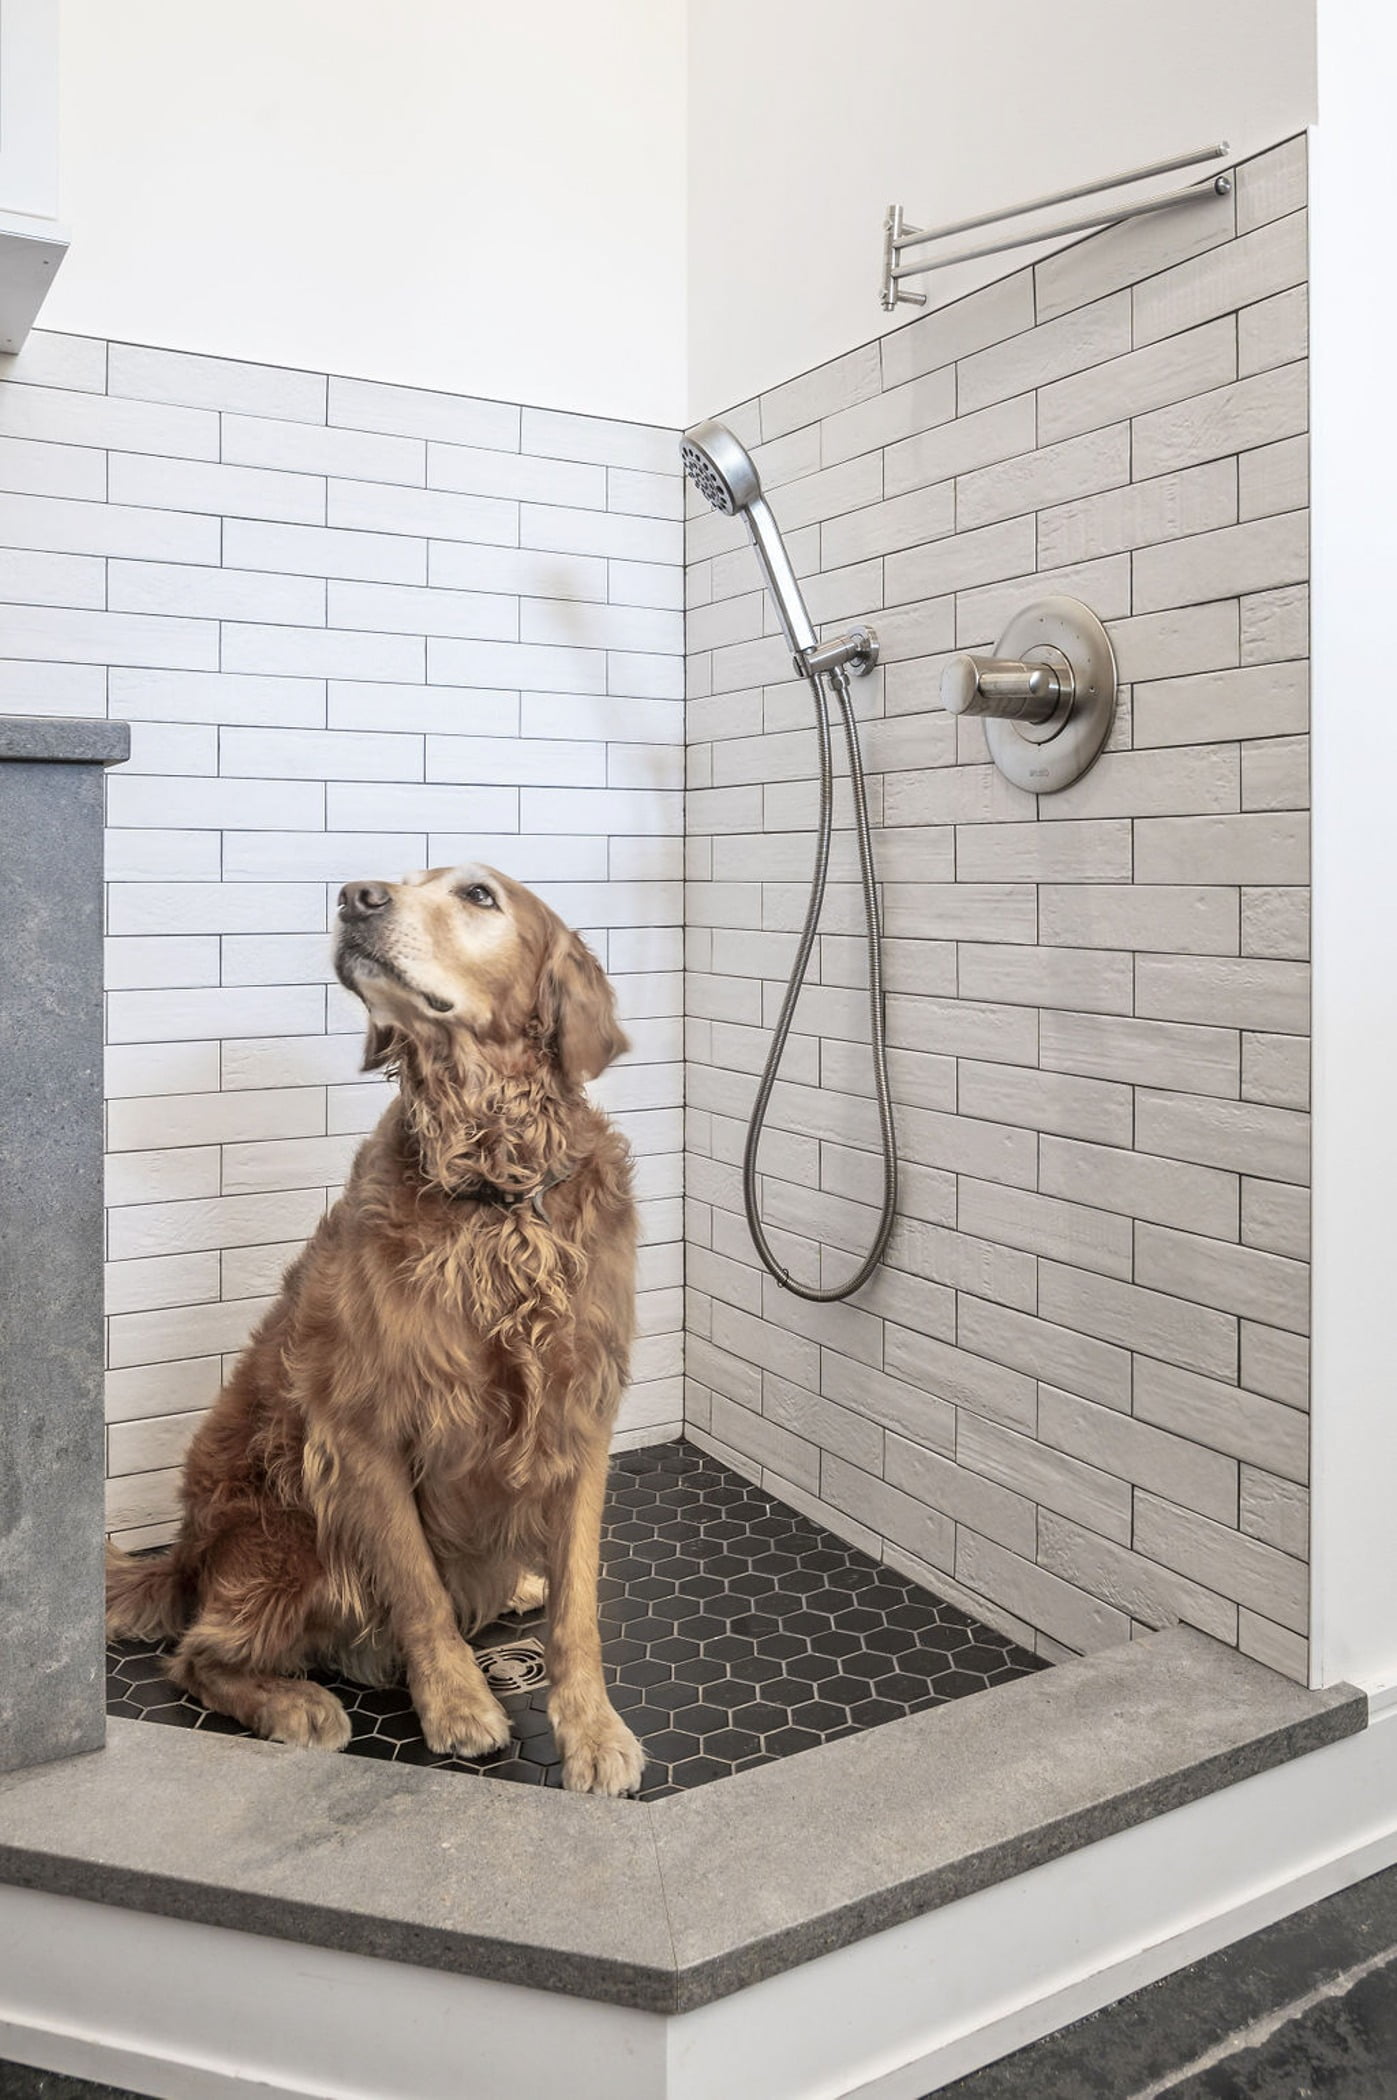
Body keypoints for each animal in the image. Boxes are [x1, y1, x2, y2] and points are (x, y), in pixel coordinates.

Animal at [106, 860, 647, 1797]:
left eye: (477, 895)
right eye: (396, 879)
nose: (354, 896)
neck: (494, 1194)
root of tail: (184, 1556)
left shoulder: (580, 1418)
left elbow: (579, 1607)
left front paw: (593, 1729)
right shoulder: (360, 1429)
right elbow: (419, 1590)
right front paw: (459, 1706)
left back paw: (517, 1585)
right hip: (290, 1518)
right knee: (197, 1657)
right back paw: (296, 1704)